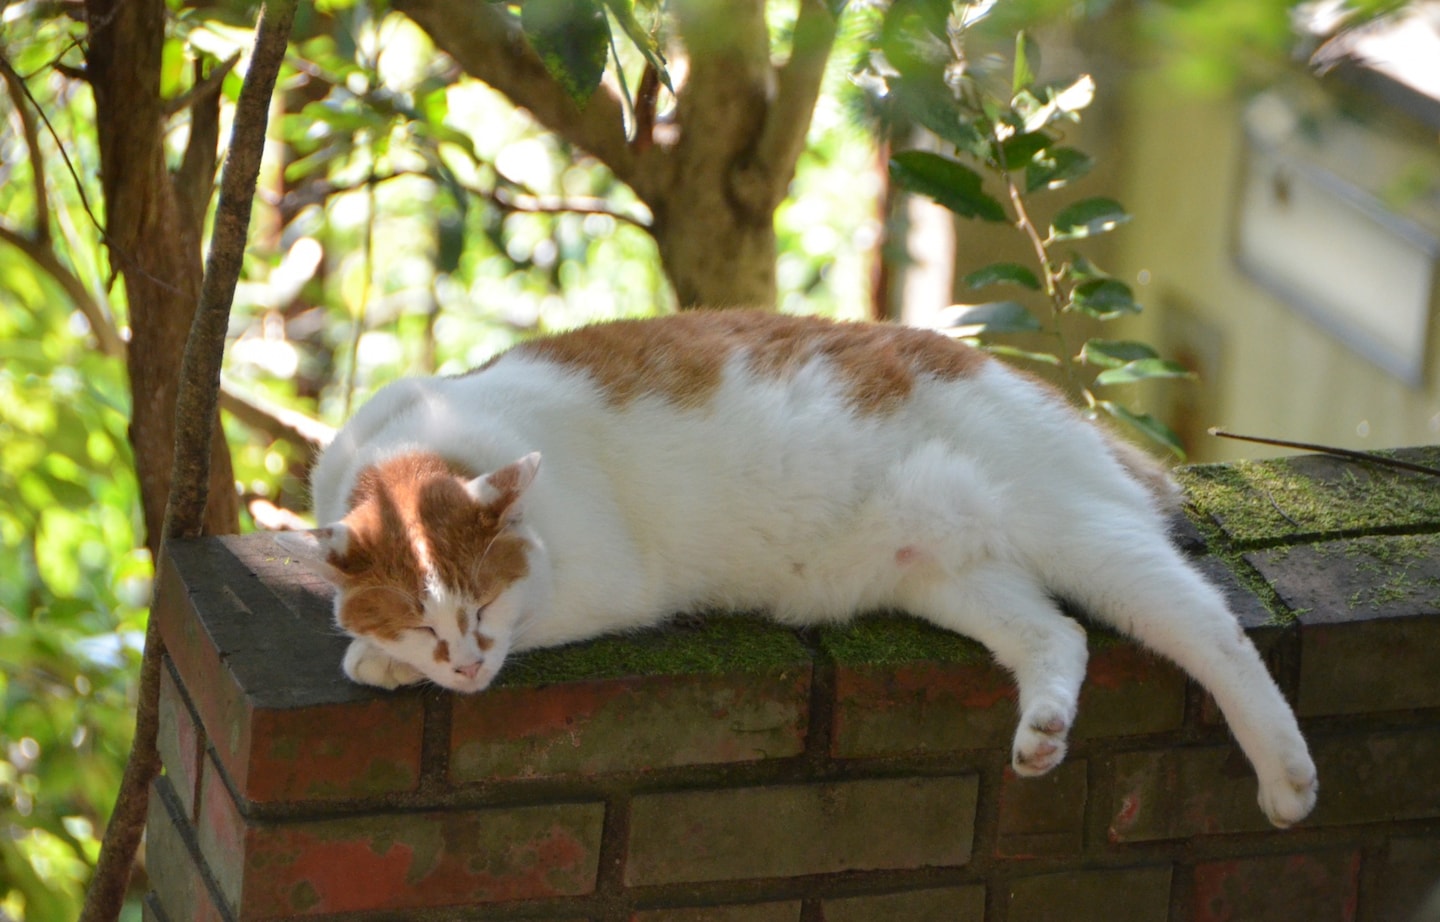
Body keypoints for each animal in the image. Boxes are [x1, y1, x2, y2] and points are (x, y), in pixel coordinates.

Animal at [280, 308, 1319, 829]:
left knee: (1215, 629)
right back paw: (1043, 734)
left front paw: (374, 660)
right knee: (1055, 635)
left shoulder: (601, 584)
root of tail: (1053, 402)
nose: (461, 667)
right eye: (425, 617)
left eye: (484, 607)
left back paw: (1287, 775)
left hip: (1084, 533)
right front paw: (381, 649)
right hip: (953, 573)